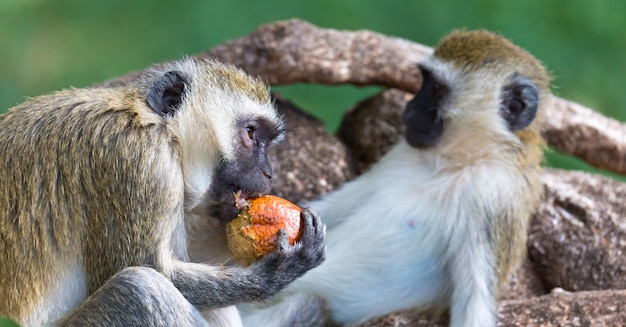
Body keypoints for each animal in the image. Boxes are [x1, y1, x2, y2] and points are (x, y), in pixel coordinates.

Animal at [1, 57, 326, 326]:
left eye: (268, 141)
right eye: (250, 133)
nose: (269, 172)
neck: (152, 121)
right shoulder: (140, 160)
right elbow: (149, 269)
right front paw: (276, 273)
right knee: (138, 289)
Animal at [236, 28, 548, 327]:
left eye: (436, 89)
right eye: (425, 81)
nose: (410, 108)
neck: (452, 164)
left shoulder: (492, 196)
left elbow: (474, 308)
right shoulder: (400, 154)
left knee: (309, 305)